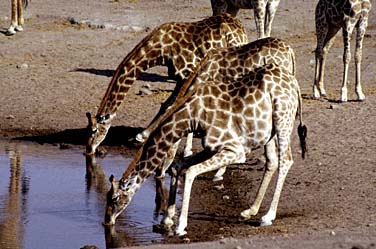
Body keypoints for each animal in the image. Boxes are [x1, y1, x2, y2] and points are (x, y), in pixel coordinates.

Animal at [86, 13, 248, 156]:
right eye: (88, 128)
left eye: (94, 130)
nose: (89, 150)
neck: (161, 50)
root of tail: (241, 29)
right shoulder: (180, 78)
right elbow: (167, 105)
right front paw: (141, 136)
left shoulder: (189, 74)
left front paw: (187, 150)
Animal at [103, 62, 308, 235]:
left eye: (114, 199)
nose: (107, 221)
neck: (191, 116)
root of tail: (294, 83)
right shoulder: (212, 147)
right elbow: (178, 166)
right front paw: (167, 219)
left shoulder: (236, 151)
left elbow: (191, 171)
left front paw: (181, 225)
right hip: (268, 132)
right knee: (272, 161)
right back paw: (249, 211)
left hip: (283, 119)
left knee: (286, 160)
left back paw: (267, 217)